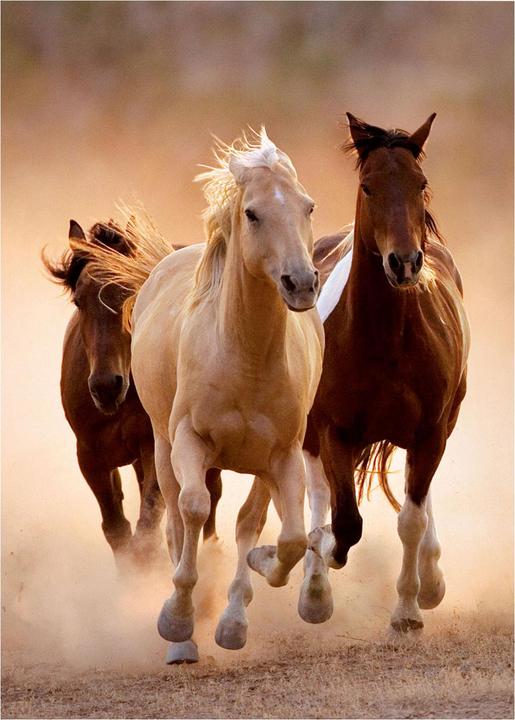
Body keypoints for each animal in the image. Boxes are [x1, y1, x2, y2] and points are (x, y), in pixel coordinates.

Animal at [43, 219, 222, 570]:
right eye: (79, 301)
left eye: (130, 293)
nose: (105, 386)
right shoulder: (90, 456)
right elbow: (117, 529)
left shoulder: (154, 446)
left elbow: (148, 526)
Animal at [81, 129, 324, 663]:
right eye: (252, 213)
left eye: (308, 206)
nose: (301, 283)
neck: (245, 356)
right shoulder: (189, 442)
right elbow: (192, 511)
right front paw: (176, 620)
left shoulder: (283, 456)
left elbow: (287, 537)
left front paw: (255, 582)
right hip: (161, 447)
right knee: (176, 518)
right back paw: (184, 639)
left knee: (249, 521)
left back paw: (232, 615)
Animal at [306, 113, 470, 635]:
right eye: (368, 186)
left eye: (421, 184)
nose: (404, 262)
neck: (385, 340)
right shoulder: (333, 430)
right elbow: (344, 521)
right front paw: (322, 559)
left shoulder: (430, 432)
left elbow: (411, 519)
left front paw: (409, 609)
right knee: (318, 493)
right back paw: (313, 588)